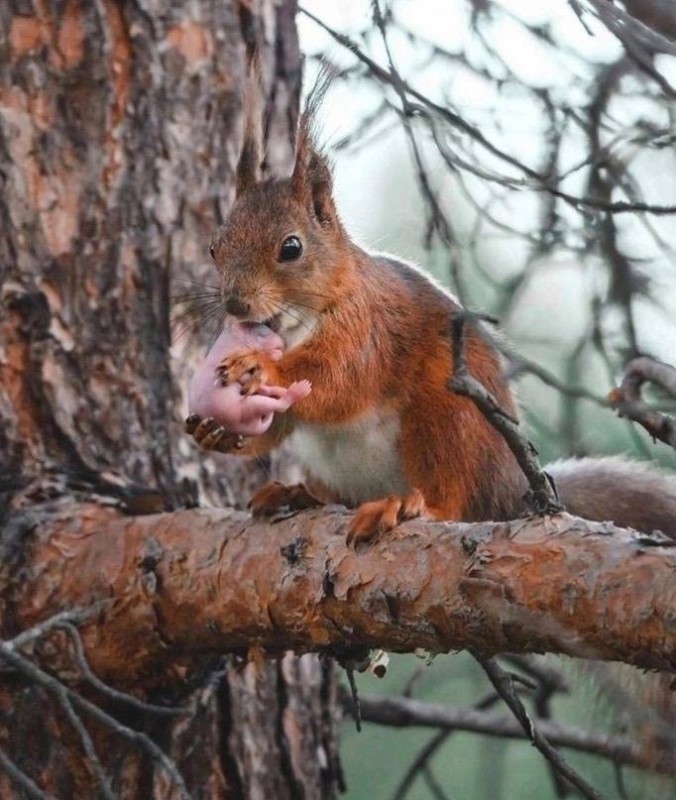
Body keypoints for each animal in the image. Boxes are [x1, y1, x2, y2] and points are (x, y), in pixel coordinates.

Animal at [184, 75, 676, 548]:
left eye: (291, 248)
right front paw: (217, 432)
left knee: (451, 501)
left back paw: (402, 505)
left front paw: (261, 366)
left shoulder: (366, 329)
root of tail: (511, 487)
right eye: (214, 247)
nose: (235, 304)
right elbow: (285, 420)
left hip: (448, 417)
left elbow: (337, 380)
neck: (295, 326)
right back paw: (296, 494)